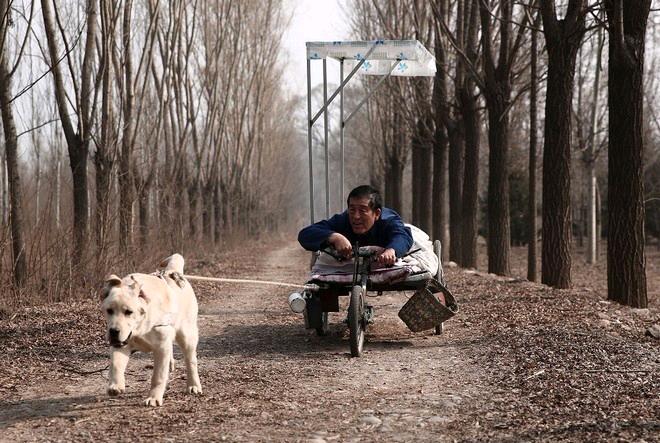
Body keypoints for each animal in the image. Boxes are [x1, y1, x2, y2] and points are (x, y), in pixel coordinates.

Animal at [101, 255, 201, 408]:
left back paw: (194, 385)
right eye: (109, 310)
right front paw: (115, 386)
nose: (113, 331)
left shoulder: (161, 347)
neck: (140, 327)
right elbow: (116, 364)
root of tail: (172, 272)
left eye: (129, 312)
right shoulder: (121, 344)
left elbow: (157, 376)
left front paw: (153, 398)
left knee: (191, 361)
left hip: (186, 335)